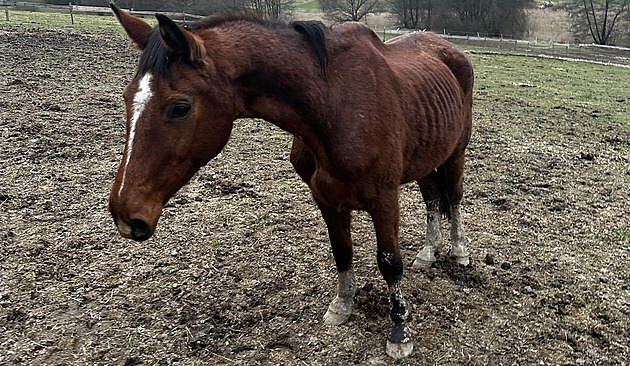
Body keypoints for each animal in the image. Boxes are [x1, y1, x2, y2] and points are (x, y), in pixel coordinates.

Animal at [107, 4, 474, 358]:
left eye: (180, 107)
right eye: (126, 97)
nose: (126, 214)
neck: (336, 105)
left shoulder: (384, 199)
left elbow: (390, 263)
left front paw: (399, 330)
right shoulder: (326, 198)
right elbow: (342, 251)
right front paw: (342, 305)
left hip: (455, 152)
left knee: (453, 197)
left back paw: (458, 251)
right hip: (426, 155)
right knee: (432, 197)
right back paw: (429, 251)